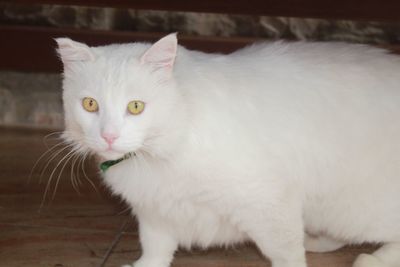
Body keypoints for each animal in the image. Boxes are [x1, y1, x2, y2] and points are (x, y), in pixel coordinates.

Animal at [55, 34, 400, 267]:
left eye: (136, 107)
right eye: (90, 104)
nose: (108, 136)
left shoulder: (268, 201)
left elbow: (286, 253)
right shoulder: (154, 210)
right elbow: (155, 248)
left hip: (354, 208)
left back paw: (371, 259)